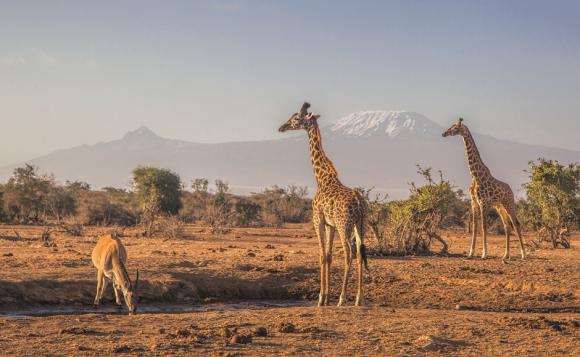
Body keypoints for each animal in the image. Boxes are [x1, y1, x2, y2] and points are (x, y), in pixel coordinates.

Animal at [276, 101, 368, 304]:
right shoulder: (330, 224)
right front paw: (325, 297)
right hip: (360, 225)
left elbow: (321, 255)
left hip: (344, 225)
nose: (281, 127)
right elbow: (329, 255)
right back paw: (358, 299)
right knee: (359, 252)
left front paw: (321, 298)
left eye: (296, 118)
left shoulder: (317, 220)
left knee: (349, 253)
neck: (322, 177)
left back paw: (342, 298)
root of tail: (359, 203)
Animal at [444, 118, 524, 260]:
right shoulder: (474, 202)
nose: (444, 133)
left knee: (516, 224)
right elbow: (475, 227)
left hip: (509, 204)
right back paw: (506, 255)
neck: (475, 175)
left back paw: (523, 254)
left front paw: (484, 254)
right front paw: (470, 253)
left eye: (454, 128)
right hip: (499, 206)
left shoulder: (483, 202)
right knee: (507, 226)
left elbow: (483, 227)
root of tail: (511, 190)